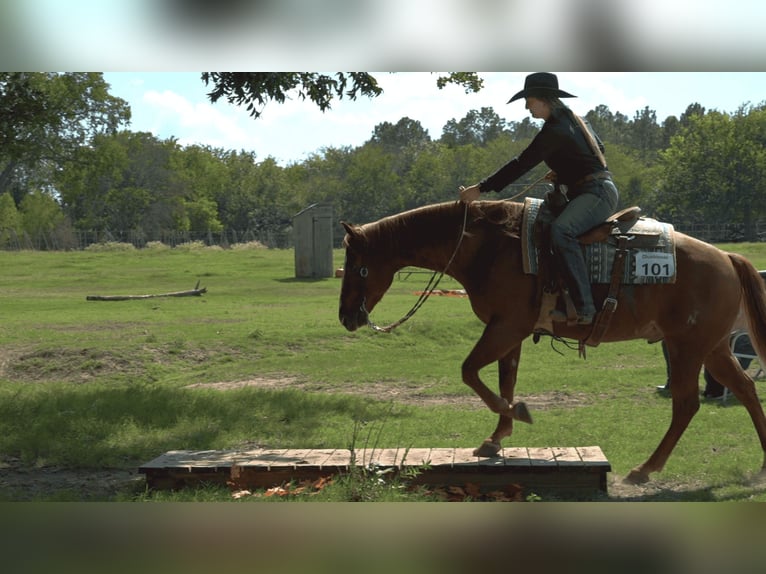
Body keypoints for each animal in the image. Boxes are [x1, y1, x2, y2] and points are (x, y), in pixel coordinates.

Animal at [338, 199, 766, 484]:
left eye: (358, 267)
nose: (346, 317)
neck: (490, 246)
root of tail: (728, 258)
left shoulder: (507, 327)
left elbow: (470, 372)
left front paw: (517, 415)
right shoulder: (508, 332)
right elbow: (504, 379)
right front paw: (497, 437)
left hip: (686, 348)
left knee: (687, 404)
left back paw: (645, 469)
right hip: (713, 348)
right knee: (745, 388)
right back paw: (761, 462)